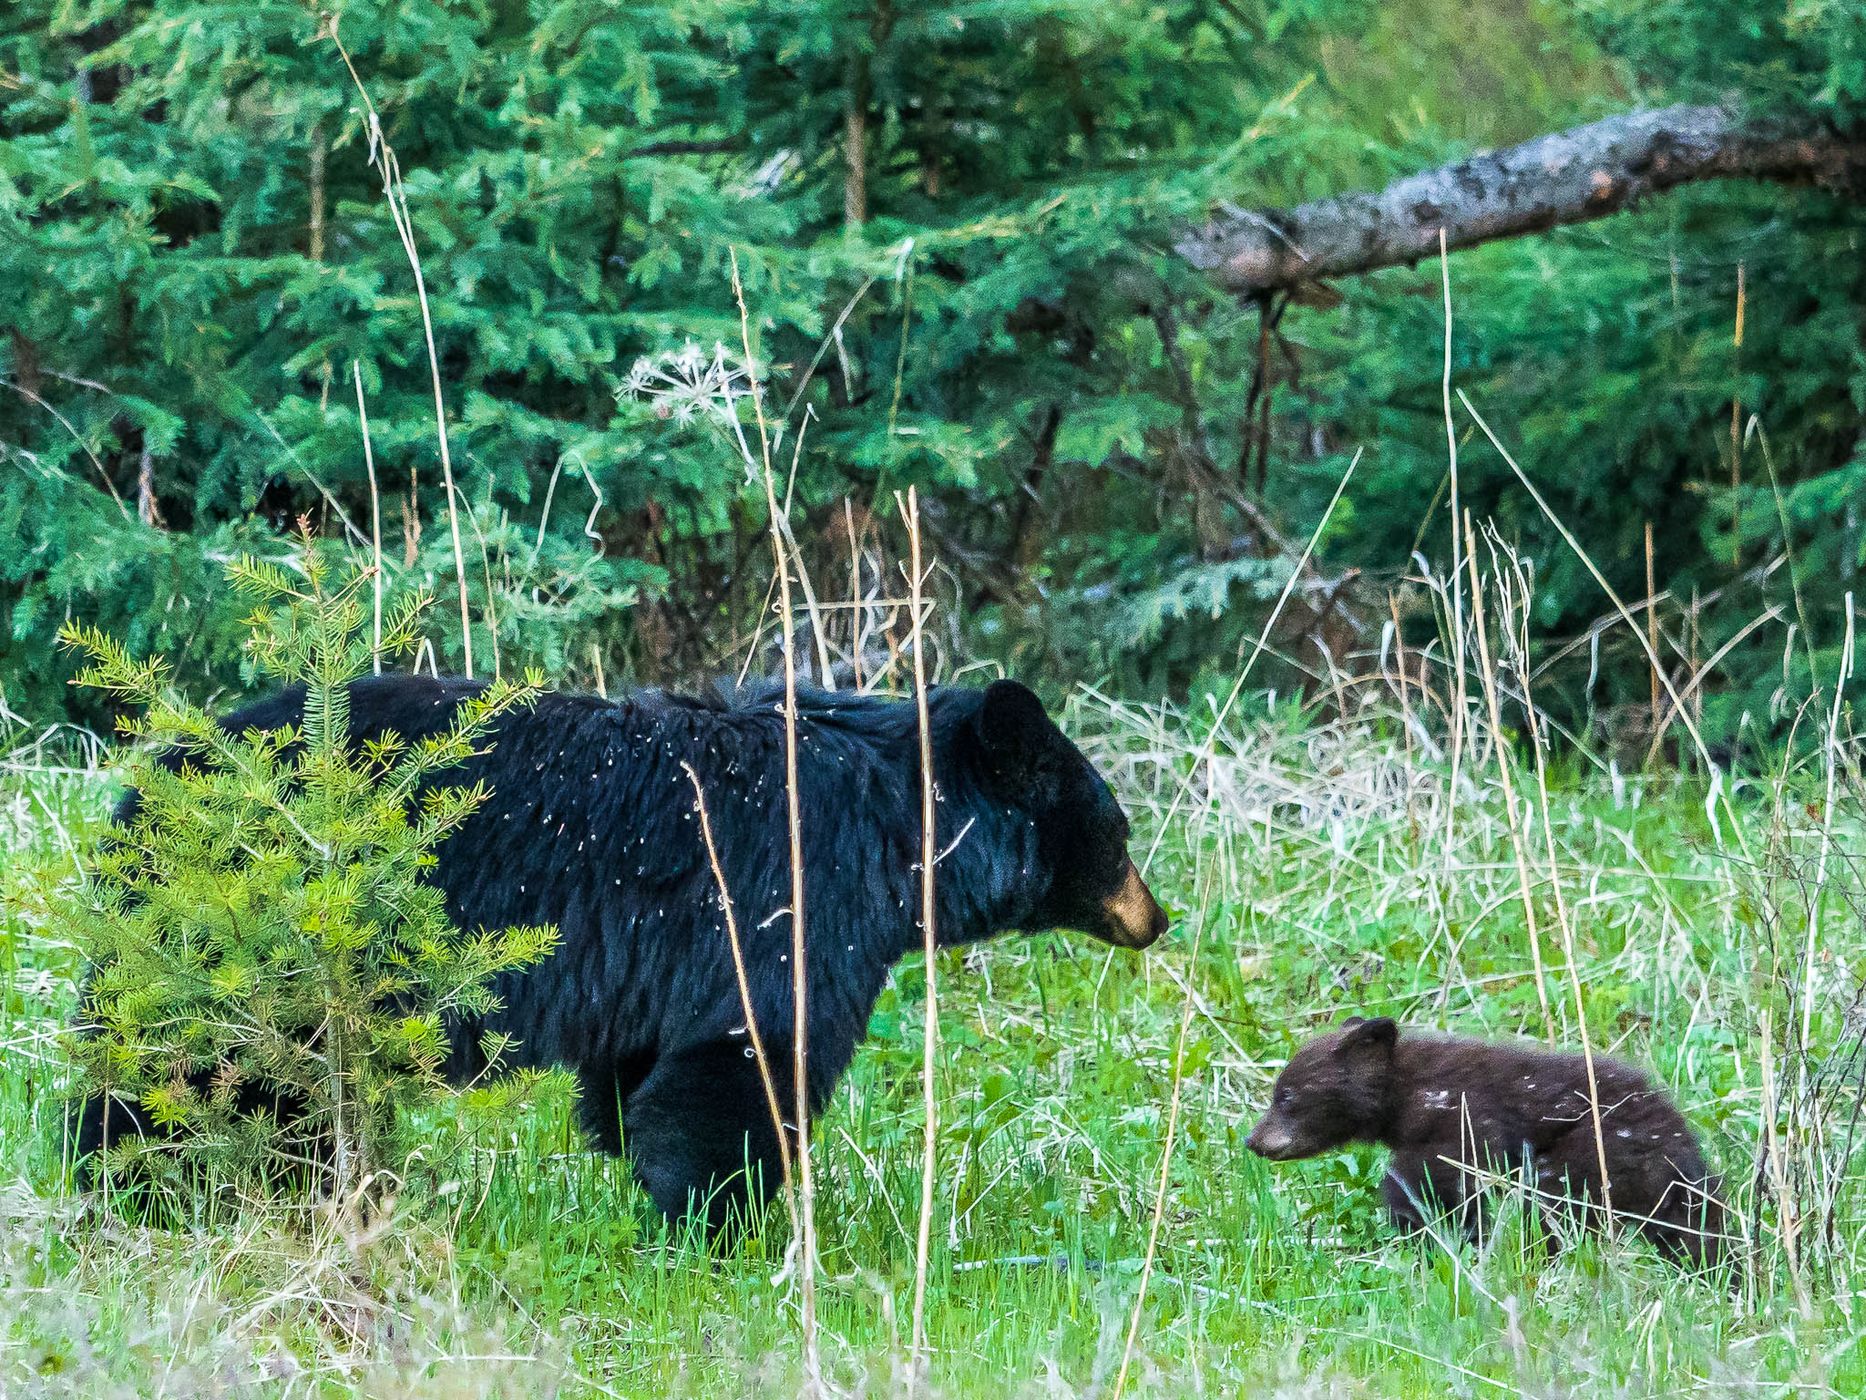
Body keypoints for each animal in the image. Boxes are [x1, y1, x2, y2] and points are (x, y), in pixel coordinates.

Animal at [75, 673, 1166, 1237]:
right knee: (179, 1071)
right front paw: (718, 1225)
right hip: (248, 932)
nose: (1157, 917)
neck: (896, 825)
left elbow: (641, 1077)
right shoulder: (789, 899)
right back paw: (139, 1187)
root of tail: (144, 786)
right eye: (1117, 833)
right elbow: (746, 1059)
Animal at [1244, 1017, 1726, 1268]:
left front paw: (1429, 1237)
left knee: (1553, 1204)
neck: (1405, 1091)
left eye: (1286, 1096)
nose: (1253, 1140)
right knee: (1695, 1233)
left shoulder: (1461, 1119)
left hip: (1593, 1153)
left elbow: (1433, 1184)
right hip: (1667, 1189)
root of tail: (1678, 1135)